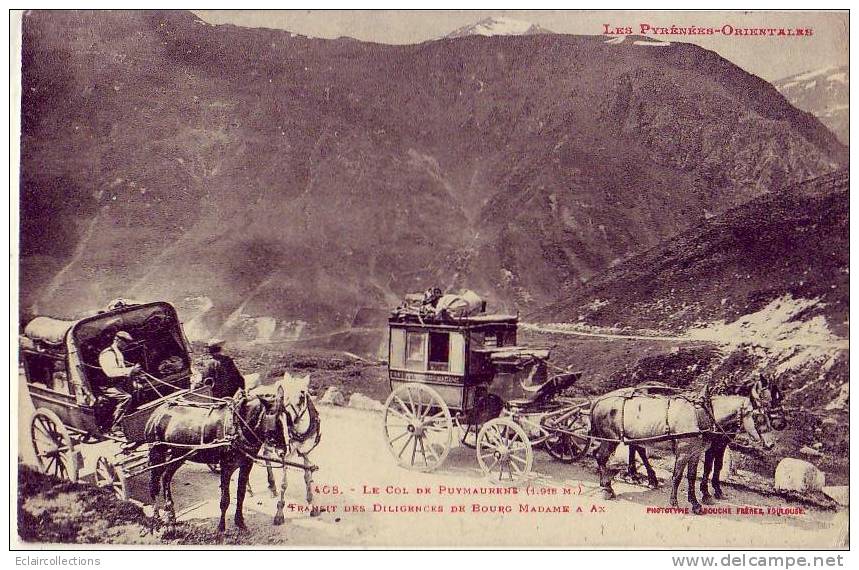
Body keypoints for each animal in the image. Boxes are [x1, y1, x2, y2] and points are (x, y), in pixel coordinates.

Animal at [146, 384, 290, 532]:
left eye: (288, 418)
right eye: (275, 421)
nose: (283, 451)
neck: (238, 426)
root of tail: (157, 412)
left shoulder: (246, 464)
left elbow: (241, 494)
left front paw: (240, 522)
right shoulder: (226, 467)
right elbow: (225, 499)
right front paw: (221, 527)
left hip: (178, 455)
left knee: (166, 478)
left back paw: (170, 514)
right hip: (156, 453)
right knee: (154, 484)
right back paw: (156, 517)